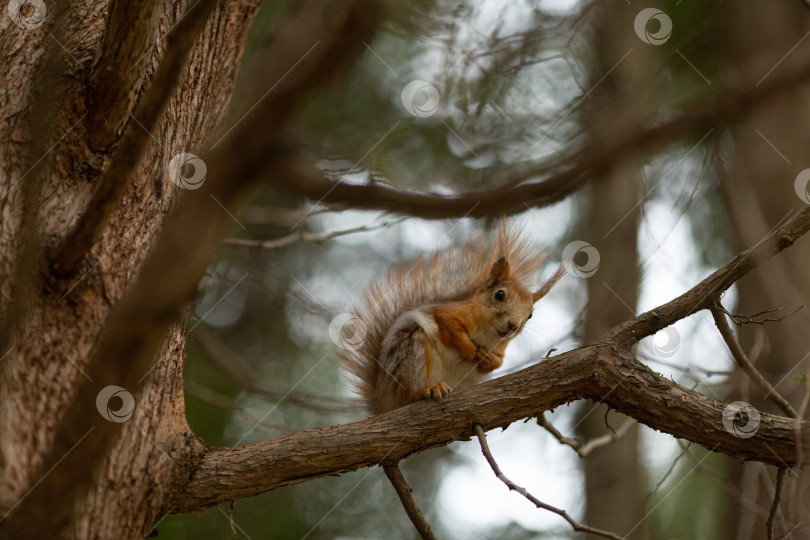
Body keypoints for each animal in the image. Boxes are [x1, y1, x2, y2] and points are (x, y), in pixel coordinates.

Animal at [338, 221, 564, 416]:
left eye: (530, 315)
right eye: (499, 295)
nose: (512, 326)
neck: (488, 333)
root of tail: (381, 402)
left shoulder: (501, 347)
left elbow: (498, 362)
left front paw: (488, 359)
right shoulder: (447, 313)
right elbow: (450, 328)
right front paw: (469, 349)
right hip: (410, 352)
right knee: (408, 394)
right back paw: (428, 390)